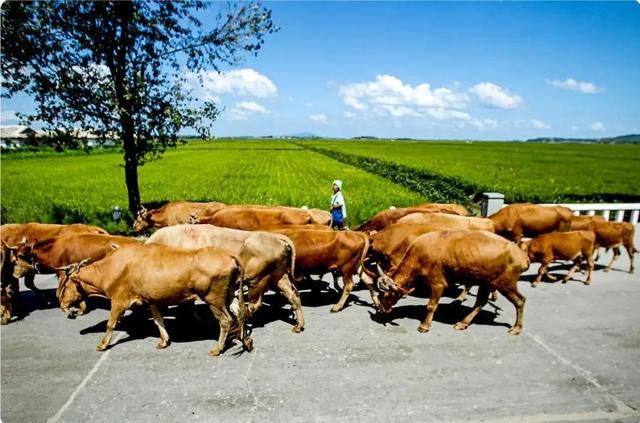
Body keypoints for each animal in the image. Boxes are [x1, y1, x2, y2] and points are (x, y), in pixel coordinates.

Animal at [57, 243, 250, 356]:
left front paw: (103, 345)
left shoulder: (119, 300)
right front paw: (164, 341)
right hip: (229, 294)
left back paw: (217, 349)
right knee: (241, 312)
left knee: (225, 320)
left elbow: (110, 324)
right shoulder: (152, 299)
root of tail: (228, 255)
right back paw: (246, 341)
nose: (62, 305)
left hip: (213, 298)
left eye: (65, 285)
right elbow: (158, 320)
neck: (110, 269)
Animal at [146, 225, 304, 334]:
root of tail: (278, 238)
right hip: (280, 277)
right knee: (294, 296)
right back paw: (298, 326)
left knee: (254, 304)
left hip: (256, 280)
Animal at [372, 232, 528, 334]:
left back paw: (516, 328)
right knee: (480, 302)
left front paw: (425, 326)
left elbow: (431, 306)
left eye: (387, 295)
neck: (420, 255)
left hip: (506, 284)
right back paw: (462, 323)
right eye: (379, 294)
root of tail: (521, 254)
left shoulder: (438, 284)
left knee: (520, 301)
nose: (381, 308)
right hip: (486, 282)